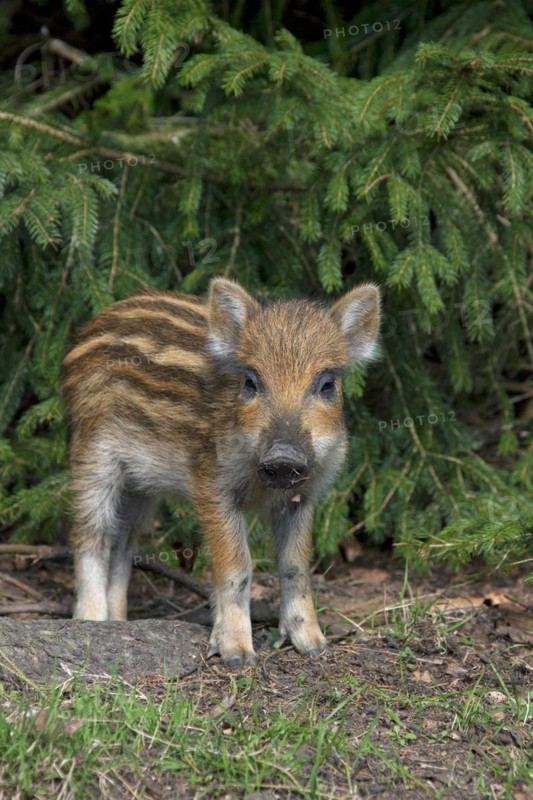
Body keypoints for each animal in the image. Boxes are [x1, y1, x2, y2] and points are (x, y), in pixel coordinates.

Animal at [61, 278, 381, 668]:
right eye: (251, 381)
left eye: (327, 384)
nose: (282, 458)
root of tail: (89, 330)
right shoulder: (213, 487)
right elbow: (237, 567)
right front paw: (237, 655)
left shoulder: (302, 495)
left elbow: (296, 567)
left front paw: (314, 646)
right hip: (94, 455)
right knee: (91, 535)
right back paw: (91, 623)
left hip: (141, 485)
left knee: (123, 543)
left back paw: (118, 623)